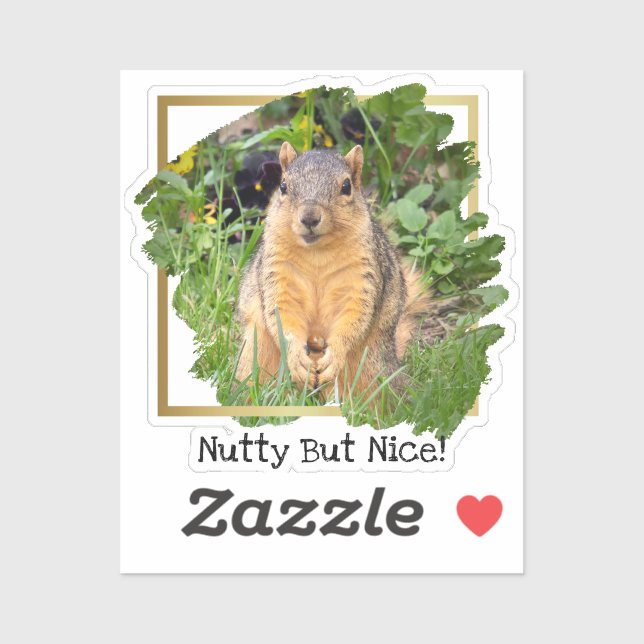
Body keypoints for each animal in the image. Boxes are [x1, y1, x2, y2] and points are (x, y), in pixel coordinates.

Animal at [235, 141, 425, 396]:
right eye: (283, 186)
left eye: (346, 186)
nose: (309, 217)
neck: (317, 254)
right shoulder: (278, 274)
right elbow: (282, 315)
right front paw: (296, 356)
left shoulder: (362, 276)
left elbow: (355, 315)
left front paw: (335, 354)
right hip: (258, 354)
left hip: (370, 368)